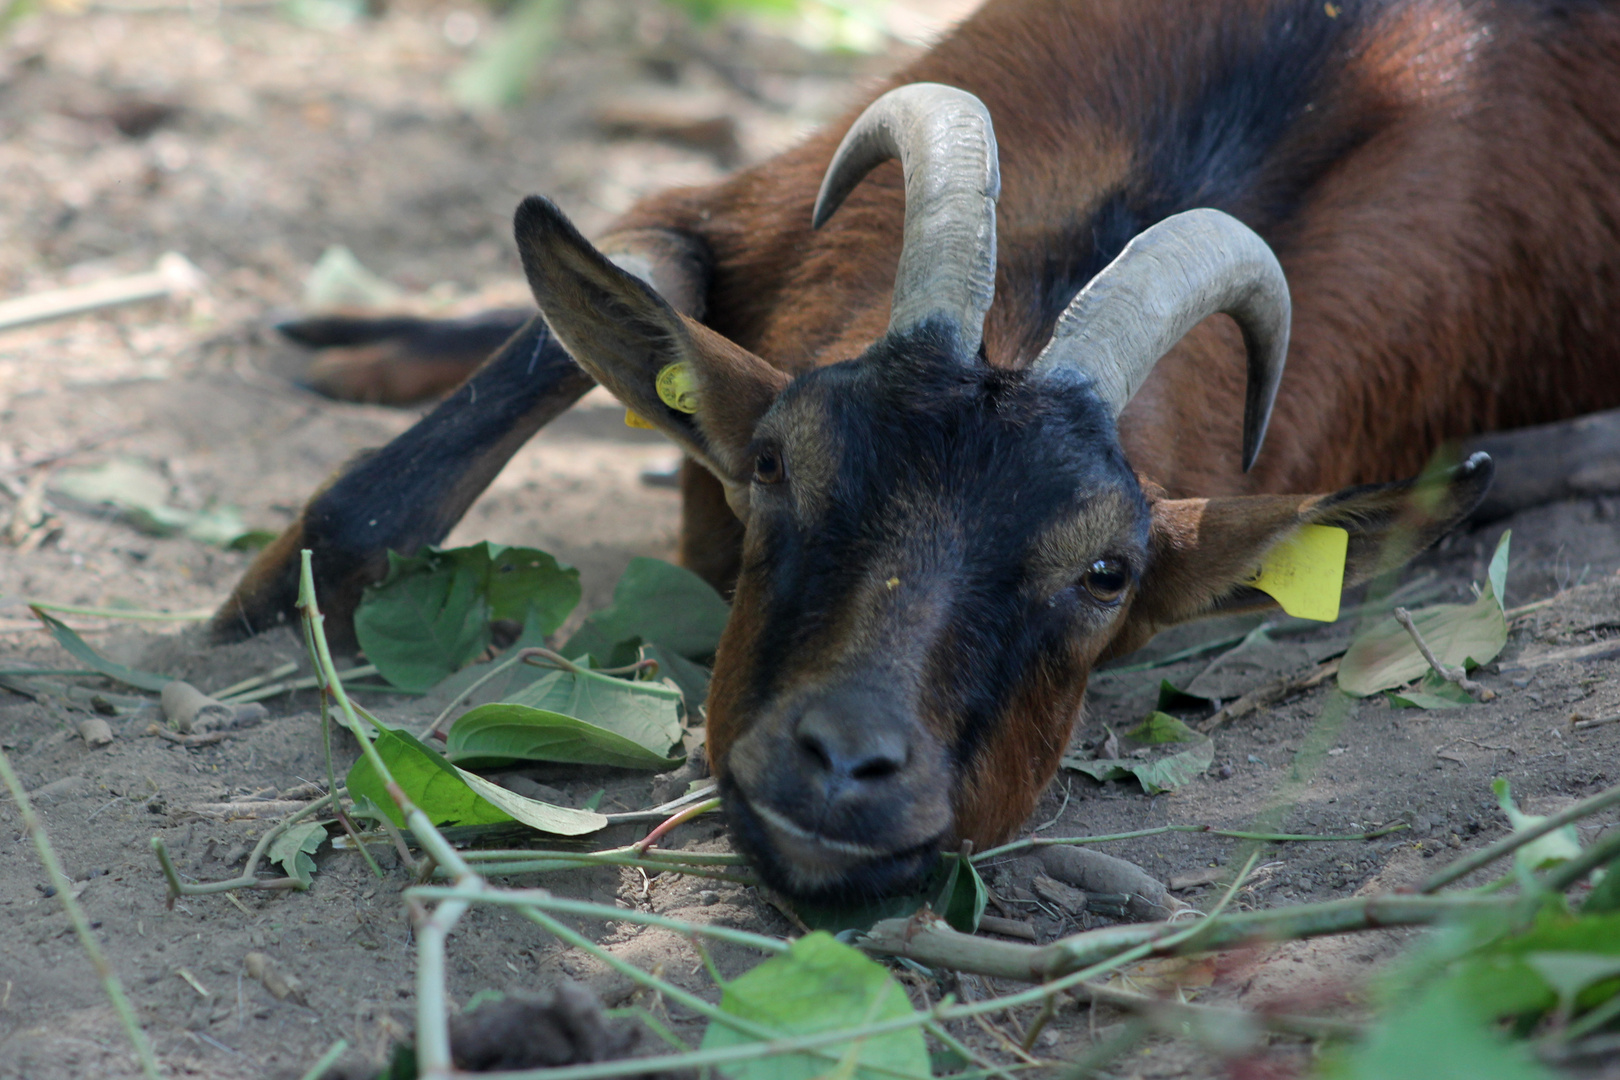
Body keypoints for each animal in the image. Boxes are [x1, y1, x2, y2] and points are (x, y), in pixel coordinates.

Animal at [218, 0, 1620, 900]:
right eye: (778, 463)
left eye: (1108, 576)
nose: (846, 761)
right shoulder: (760, 206)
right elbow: (643, 273)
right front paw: (259, 609)